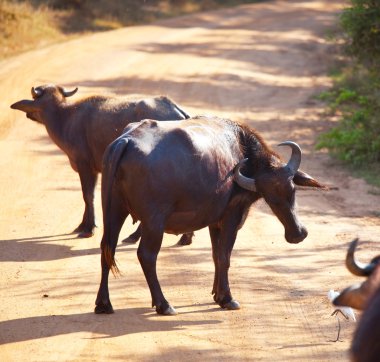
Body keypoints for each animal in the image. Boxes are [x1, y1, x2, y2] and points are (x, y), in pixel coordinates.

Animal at [10, 84, 194, 246]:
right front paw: (82, 225)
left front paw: (88, 228)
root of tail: (178, 111)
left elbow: (87, 195)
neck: (65, 118)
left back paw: (137, 236)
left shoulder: (84, 166)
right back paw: (185, 237)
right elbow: (87, 196)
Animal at [95, 115, 326, 314]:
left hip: (113, 211)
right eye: (271, 198)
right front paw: (227, 298)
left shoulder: (214, 221)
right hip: (153, 222)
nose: (297, 234)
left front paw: (216, 293)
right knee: (146, 255)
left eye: (292, 190)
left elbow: (215, 255)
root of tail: (125, 141)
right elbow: (225, 256)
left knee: (107, 248)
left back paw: (103, 303)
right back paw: (164, 304)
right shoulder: (232, 215)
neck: (241, 151)